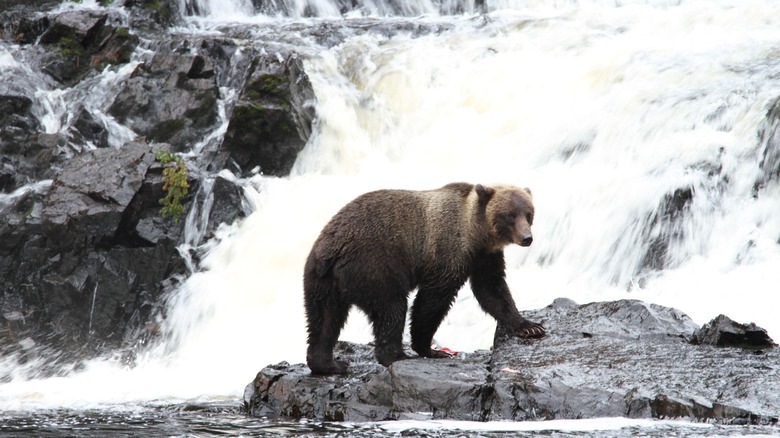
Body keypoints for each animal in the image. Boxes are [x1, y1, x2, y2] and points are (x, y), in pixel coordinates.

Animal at [302, 181, 544, 372]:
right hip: (374, 267)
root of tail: (333, 249)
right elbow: (433, 300)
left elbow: (492, 290)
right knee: (392, 309)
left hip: (320, 280)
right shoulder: (448, 251)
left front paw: (530, 326)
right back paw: (397, 356)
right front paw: (429, 348)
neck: (476, 234)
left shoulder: (484, 257)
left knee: (323, 320)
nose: (527, 238)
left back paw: (329, 364)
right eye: (510, 215)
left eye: (529, 213)